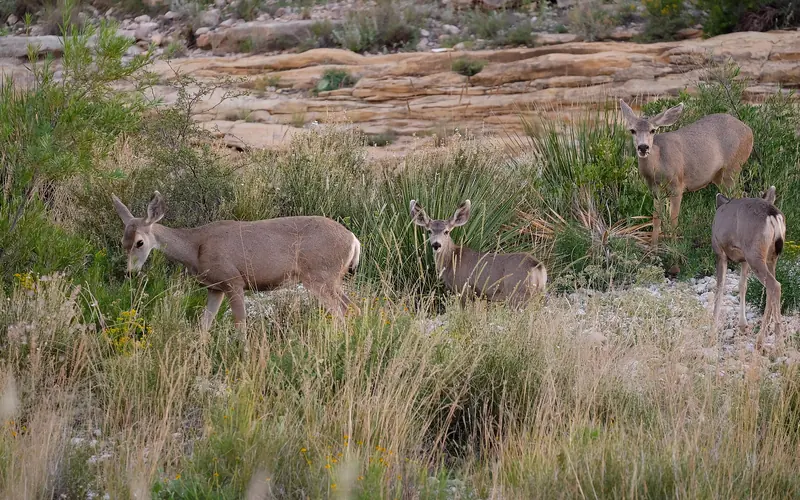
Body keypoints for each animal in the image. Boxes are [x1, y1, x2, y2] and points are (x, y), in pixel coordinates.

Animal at [112, 191, 361, 332]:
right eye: (122, 242)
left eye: (139, 243)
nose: (130, 272)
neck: (195, 247)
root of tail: (353, 240)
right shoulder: (215, 287)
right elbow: (204, 325)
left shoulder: (234, 280)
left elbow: (240, 323)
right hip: (331, 280)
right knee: (353, 308)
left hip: (320, 277)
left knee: (341, 311)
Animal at [409, 199, 547, 307]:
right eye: (429, 231)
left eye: (446, 231)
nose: (436, 245)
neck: (452, 260)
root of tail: (537, 266)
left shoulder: (463, 289)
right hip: (536, 295)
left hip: (518, 293)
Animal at [619, 100, 754, 271]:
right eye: (632, 130)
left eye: (652, 130)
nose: (643, 147)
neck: (658, 165)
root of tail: (749, 130)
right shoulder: (656, 191)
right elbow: (656, 220)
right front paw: (652, 255)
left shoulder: (677, 186)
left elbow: (673, 221)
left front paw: (675, 263)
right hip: (719, 176)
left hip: (733, 167)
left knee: (739, 195)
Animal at [712, 186, 786, 352]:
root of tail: (773, 214)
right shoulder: (743, 259)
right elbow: (742, 286)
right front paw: (742, 324)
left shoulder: (720, 251)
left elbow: (720, 287)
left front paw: (712, 326)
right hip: (769, 257)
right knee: (770, 288)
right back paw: (762, 340)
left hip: (754, 253)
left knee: (774, 285)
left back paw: (776, 343)